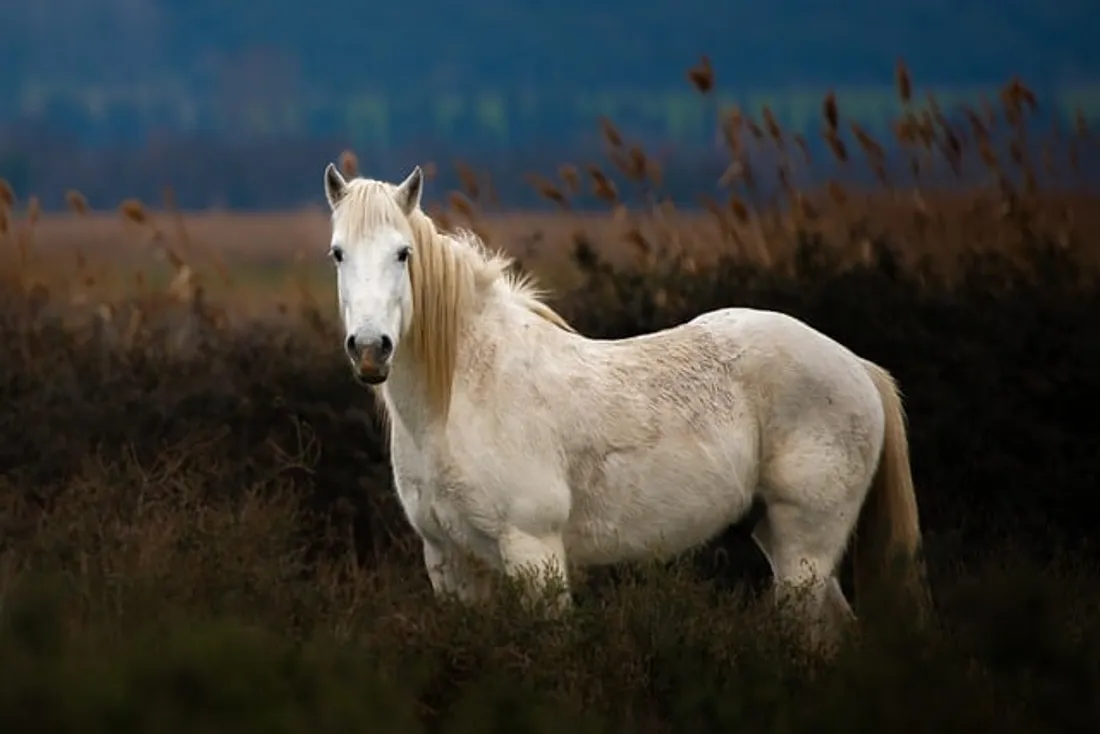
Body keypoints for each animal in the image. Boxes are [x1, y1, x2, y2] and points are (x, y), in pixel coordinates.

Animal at [321, 163, 928, 650]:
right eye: (337, 254)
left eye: (403, 253)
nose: (371, 349)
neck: (462, 396)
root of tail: (857, 366)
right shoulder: (449, 563)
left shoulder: (533, 552)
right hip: (783, 539)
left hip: (806, 547)